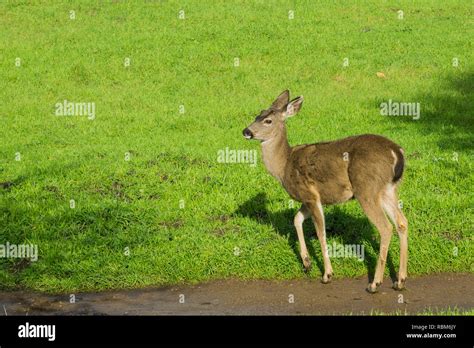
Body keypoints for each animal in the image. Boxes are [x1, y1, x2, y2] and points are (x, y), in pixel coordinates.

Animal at [244, 90, 408, 294]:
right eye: (257, 115)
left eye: (268, 120)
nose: (246, 131)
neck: (284, 166)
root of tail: (397, 152)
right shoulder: (310, 199)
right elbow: (296, 219)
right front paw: (307, 263)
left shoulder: (310, 195)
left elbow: (321, 232)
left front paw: (327, 274)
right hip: (388, 189)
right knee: (402, 222)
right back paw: (400, 280)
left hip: (366, 188)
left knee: (385, 227)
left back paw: (374, 283)